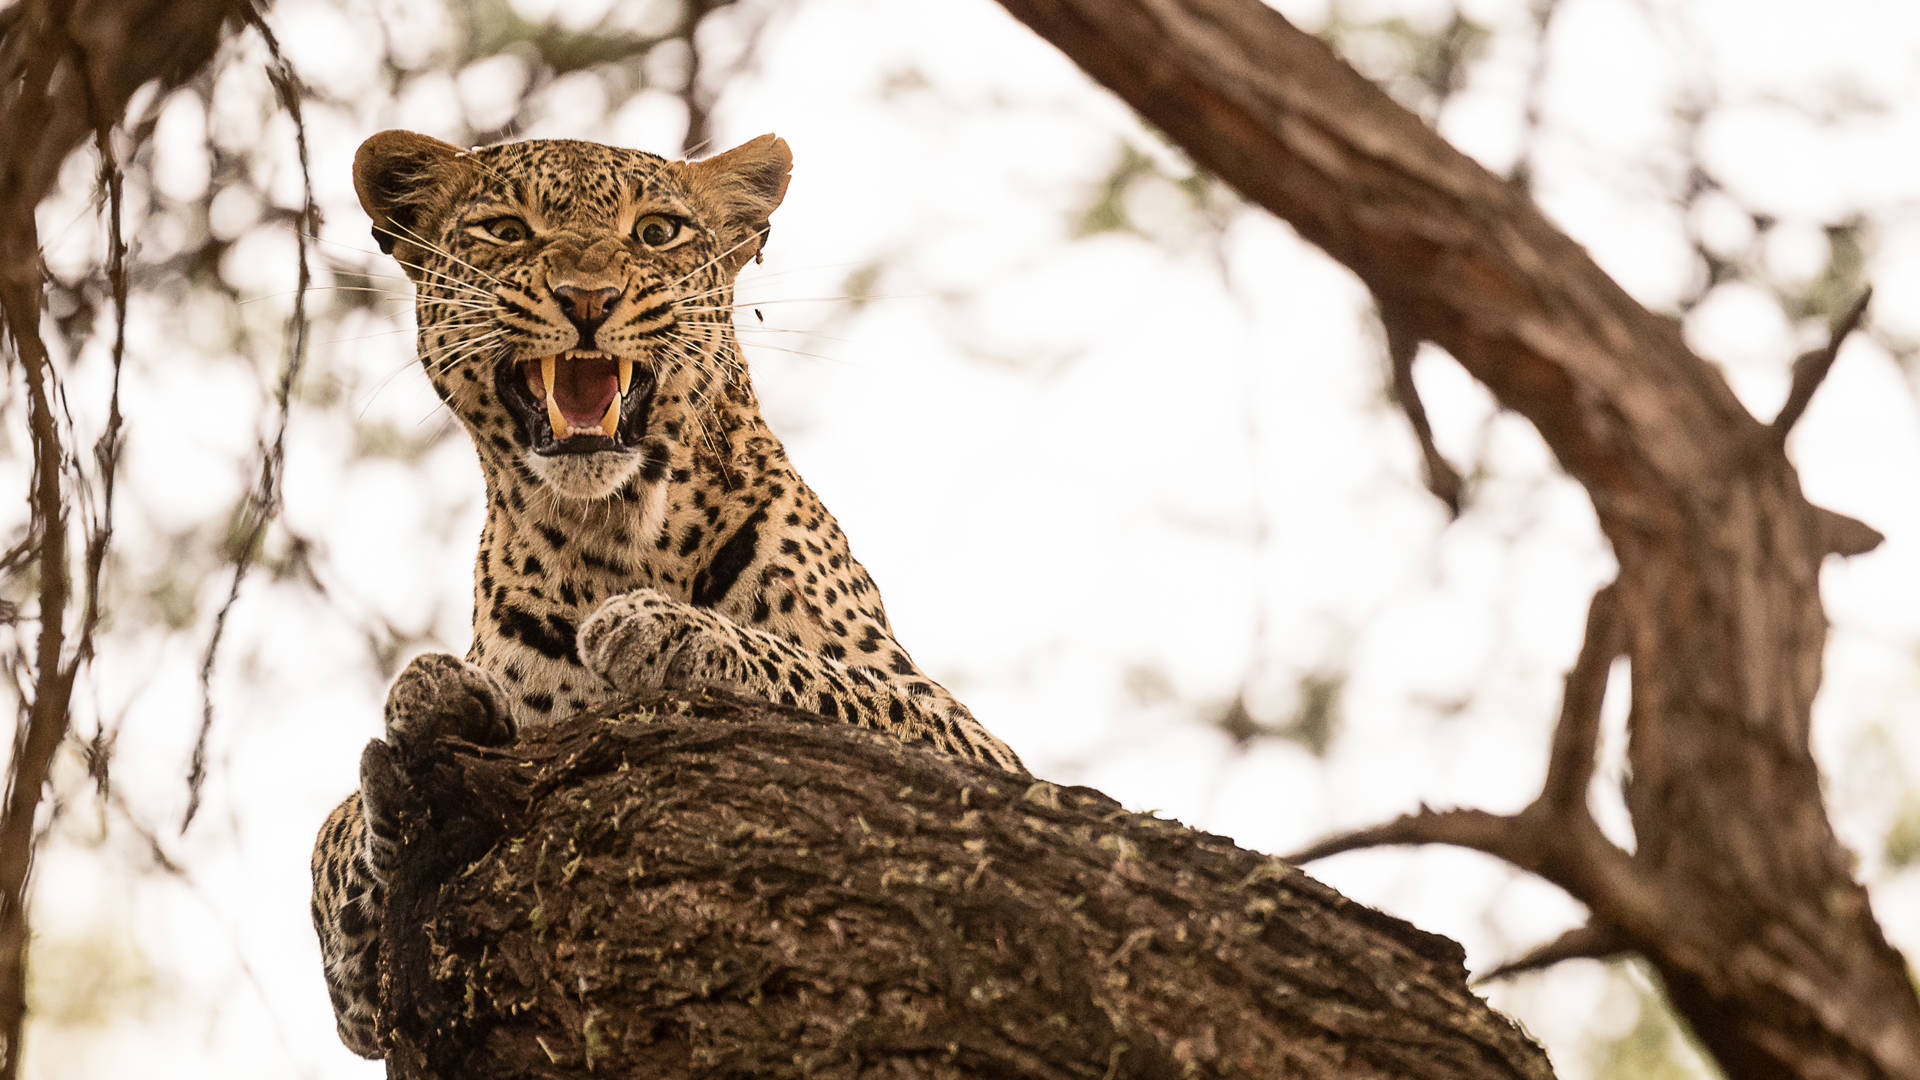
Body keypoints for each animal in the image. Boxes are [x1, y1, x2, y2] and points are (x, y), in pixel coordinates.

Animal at [312, 130, 1029, 1053]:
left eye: (655, 233)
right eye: (506, 231)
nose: (587, 296)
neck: (614, 535)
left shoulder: (971, 745)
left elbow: (834, 682)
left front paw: (667, 630)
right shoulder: (363, 1003)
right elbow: (330, 853)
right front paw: (422, 717)